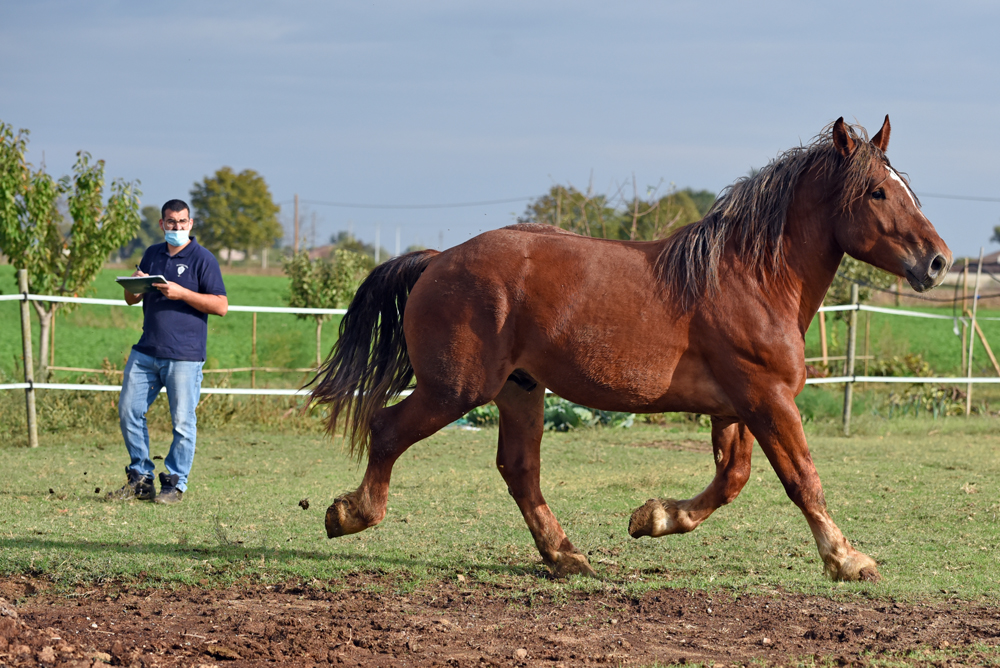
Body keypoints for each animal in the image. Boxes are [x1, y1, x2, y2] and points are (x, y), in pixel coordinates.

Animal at [312, 117, 952, 580]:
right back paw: (350, 514)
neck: (753, 278)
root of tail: (436, 260)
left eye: (906, 189)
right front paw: (848, 560)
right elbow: (802, 480)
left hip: (520, 390)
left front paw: (653, 517)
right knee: (387, 428)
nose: (938, 261)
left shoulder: (735, 407)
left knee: (519, 470)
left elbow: (733, 478)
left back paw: (566, 556)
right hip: (455, 389)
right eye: (877, 192)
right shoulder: (767, 399)